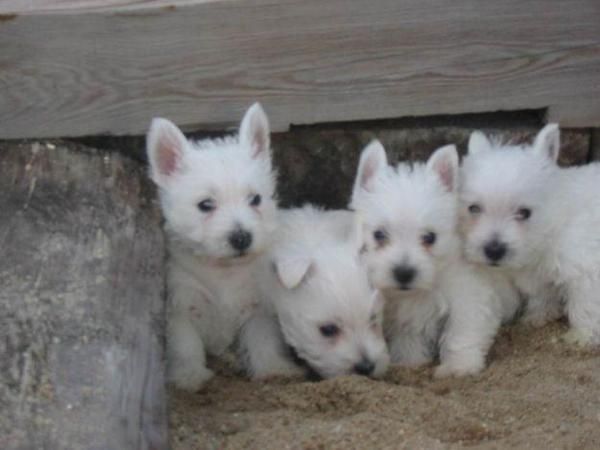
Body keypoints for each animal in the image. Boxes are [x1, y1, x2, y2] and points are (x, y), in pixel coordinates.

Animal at [146, 102, 278, 390]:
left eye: (255, 199)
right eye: (205, 205)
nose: (242, 237)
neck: (222, 270)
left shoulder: (258, 306)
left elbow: (262, 339)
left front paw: (274, 370)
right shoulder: (180, 306)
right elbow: (185, 346)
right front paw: (189, 377)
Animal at [239, 206, 390, 382]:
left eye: (373, 319)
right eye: (328, 330)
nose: (366, 367)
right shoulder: (261, 306)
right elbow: (261, 337)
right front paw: (275, 369)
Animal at [352, 142, 520, 378]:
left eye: (429, 237)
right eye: (379, 235)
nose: (404, 273)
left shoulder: (469, 299)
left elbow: (461, 334)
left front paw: (459, 367)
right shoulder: (407, 316)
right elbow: (408, 340)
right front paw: (410, 362)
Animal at [460, 125, 600, 346]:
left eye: (524, 213)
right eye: (474, 208)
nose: (493, 250)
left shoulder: (586, 269)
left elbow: (585, 305)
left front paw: (582, 336)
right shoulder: (539, 275)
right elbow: (542, 295)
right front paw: (538, 317)